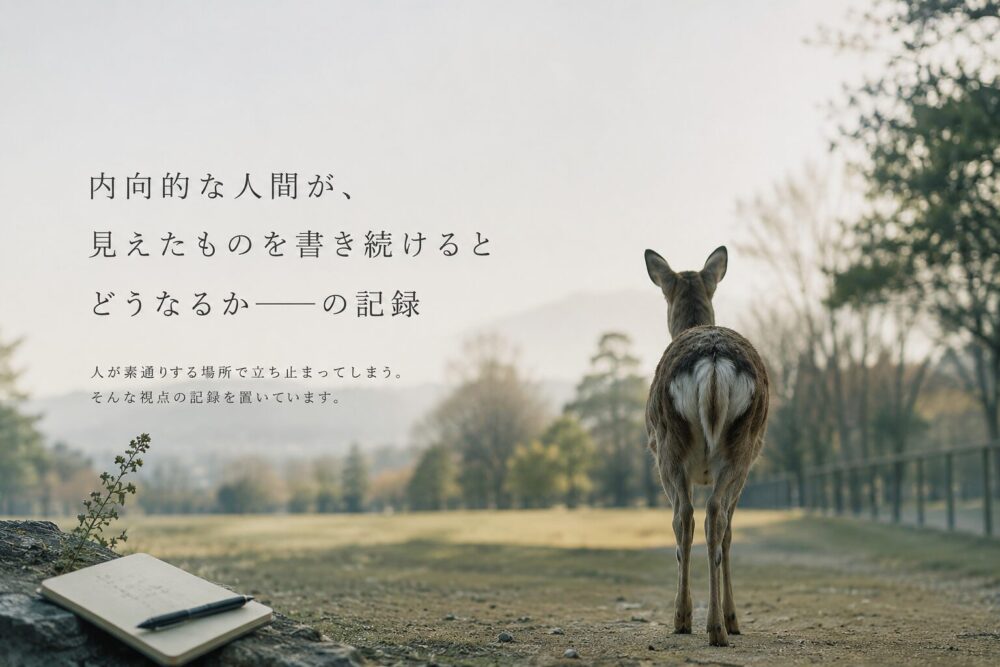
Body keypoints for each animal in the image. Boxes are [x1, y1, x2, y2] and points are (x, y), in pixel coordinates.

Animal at [643, 245, 769, 647]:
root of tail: (713, 362)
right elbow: (726, 532)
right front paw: (733, 618)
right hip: (738, 448)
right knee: (712, 516)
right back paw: (712, 624)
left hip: (671, 446)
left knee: (689, 516)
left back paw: (693, 620)